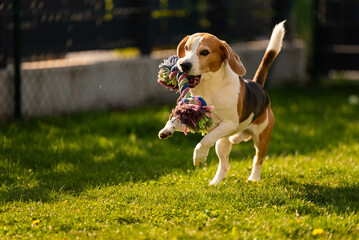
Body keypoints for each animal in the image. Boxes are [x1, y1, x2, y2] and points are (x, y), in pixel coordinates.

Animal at [159, 21, 286, 185]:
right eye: (186, 48)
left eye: (204, 52)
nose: (183, 64)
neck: (210, 87)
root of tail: (258, 86)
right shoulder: (195, 119)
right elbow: (175, 119)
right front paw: (167, 129)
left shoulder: (229, 124)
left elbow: (206, 139)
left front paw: (199, 155)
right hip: (222, 144)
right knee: (225, 166)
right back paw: (215, 183)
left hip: (262, 138)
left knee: (258, 159)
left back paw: (254, 178)